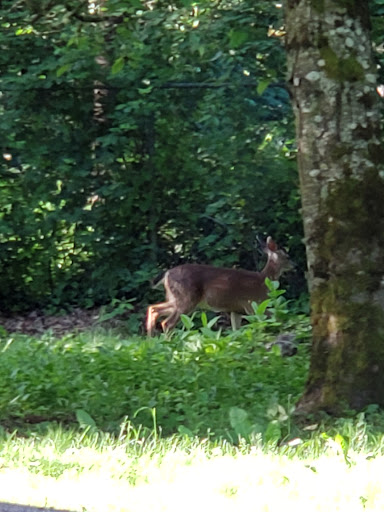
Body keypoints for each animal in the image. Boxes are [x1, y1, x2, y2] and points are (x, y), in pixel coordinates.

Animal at [146, 236, 292, 336]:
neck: (264, 281)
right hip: (186, 297)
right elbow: (270, 318)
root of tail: (167, 274)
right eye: (287, 256)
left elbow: (236, 331)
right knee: (167, 323)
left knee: (154, 309)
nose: (295, 265)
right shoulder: (253, 304)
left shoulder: (236, 309)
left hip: (176, 297)